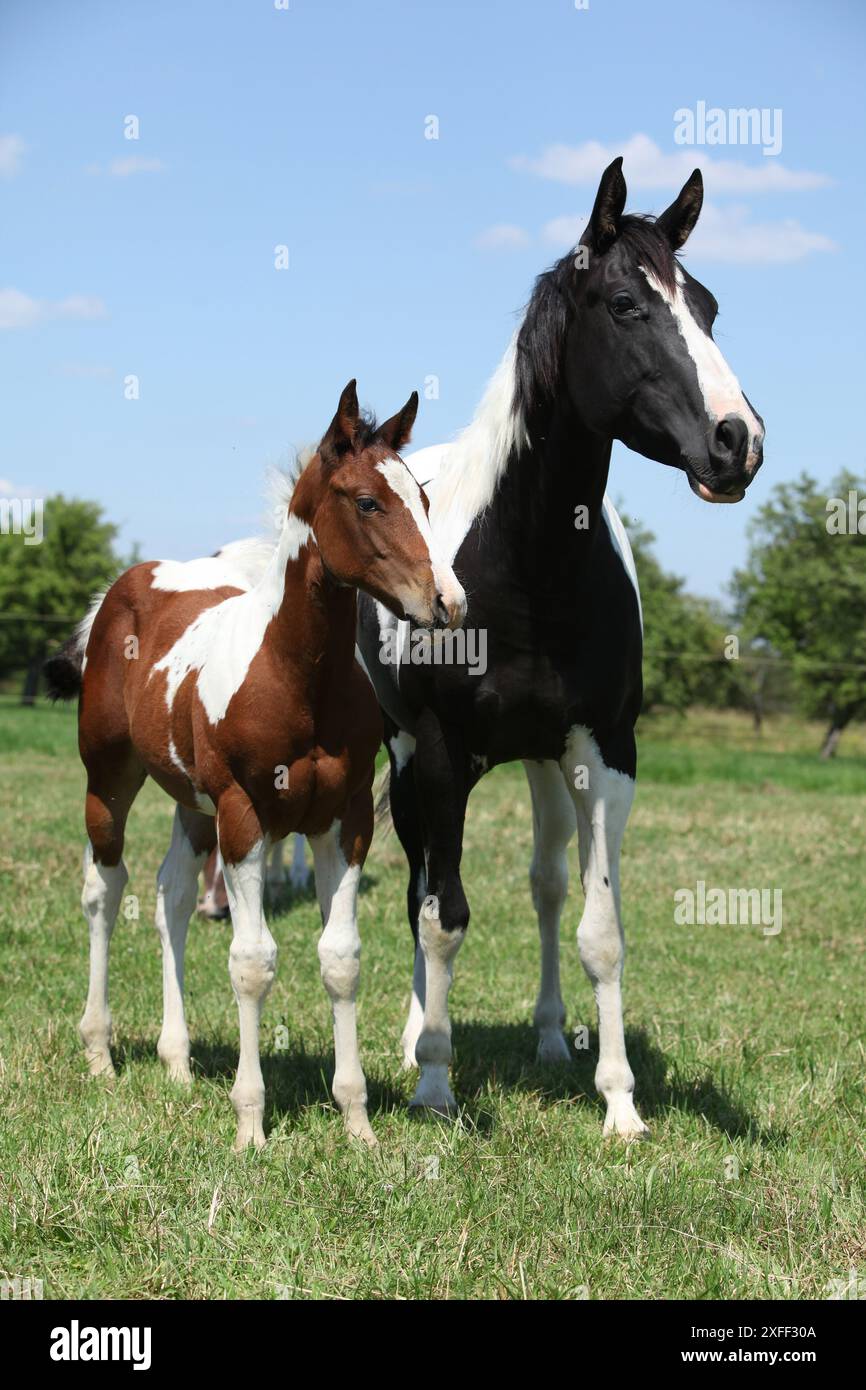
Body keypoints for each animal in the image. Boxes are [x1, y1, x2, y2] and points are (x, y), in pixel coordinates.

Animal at [47, 383, 467, 1150]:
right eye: (368, 502)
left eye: (423, 498)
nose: (449, 602)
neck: (295, 674)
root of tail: (122, 588)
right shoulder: (244, 816)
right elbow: (252, 962)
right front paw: (250, 1123)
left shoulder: (343, 822)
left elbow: (340, 958)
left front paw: (357, 1121)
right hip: (109, 779)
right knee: (105, 889)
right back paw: (99, 1053)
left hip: (192, 803)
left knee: (171, 895)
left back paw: (177, 1061)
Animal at [355, 162, 761, 1139]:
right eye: (625, 303)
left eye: (710, 307)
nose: (739, 442)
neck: (525, 561)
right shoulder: (439, 754)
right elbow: (442, 916)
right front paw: (435, 1083)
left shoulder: (603, 752)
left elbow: (598, 929)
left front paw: (619, 1101)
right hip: (405, 760)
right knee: (422, 884)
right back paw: (414, 1039)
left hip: (543, 763)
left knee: (543, 885)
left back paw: (547, 1038)